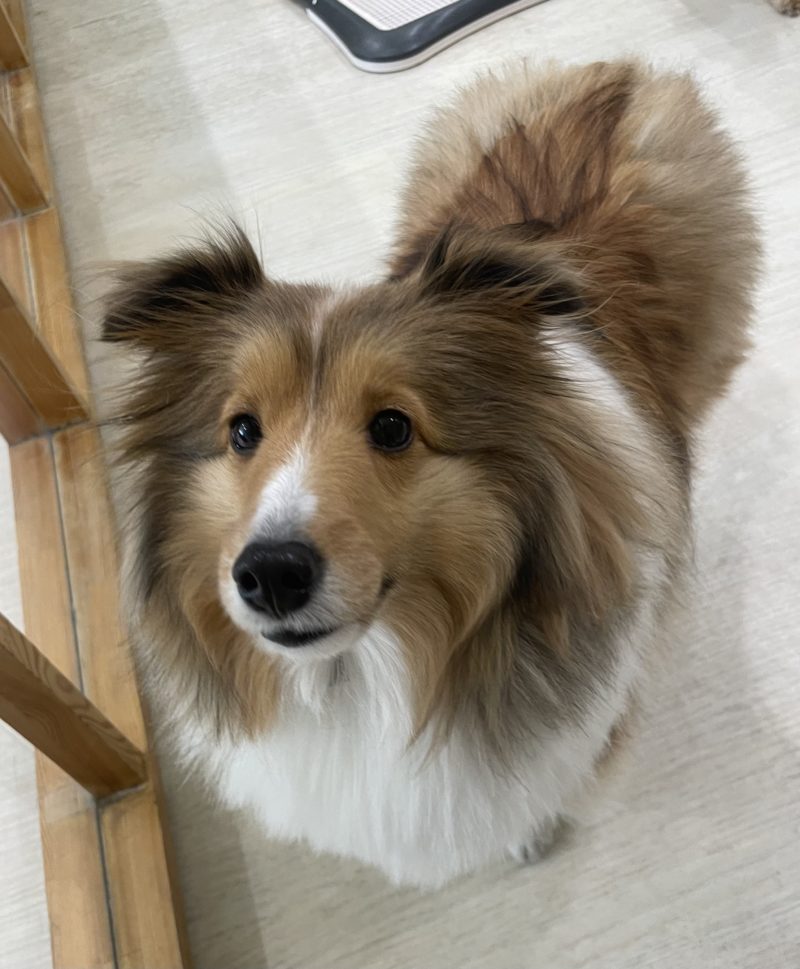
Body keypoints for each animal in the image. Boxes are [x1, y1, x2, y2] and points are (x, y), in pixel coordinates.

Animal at [104, 60, 759, 888]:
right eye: (242, 430)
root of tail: (613, 79)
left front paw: (531, 833)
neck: (367, 678)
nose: (271, 574)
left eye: (393, 427)